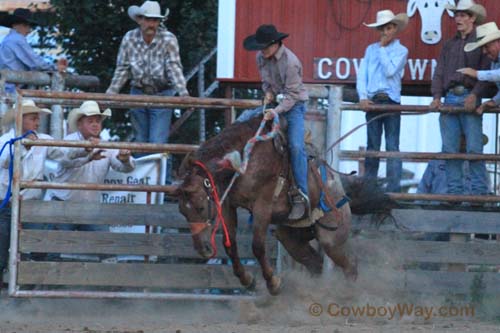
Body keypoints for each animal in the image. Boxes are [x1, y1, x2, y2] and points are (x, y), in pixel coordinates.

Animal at [170, 113, 392, 294]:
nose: (203, 249)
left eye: (200, 208)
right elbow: (230, 244)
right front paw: (247, 280)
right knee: (315, 263)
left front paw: (273, 283)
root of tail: (341, 190)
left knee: (349, 265)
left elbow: (258, 246)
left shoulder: (263, 204)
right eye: (182, 211)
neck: (245, 158)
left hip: (332, 236)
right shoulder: (226, 205)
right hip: (292, 236)